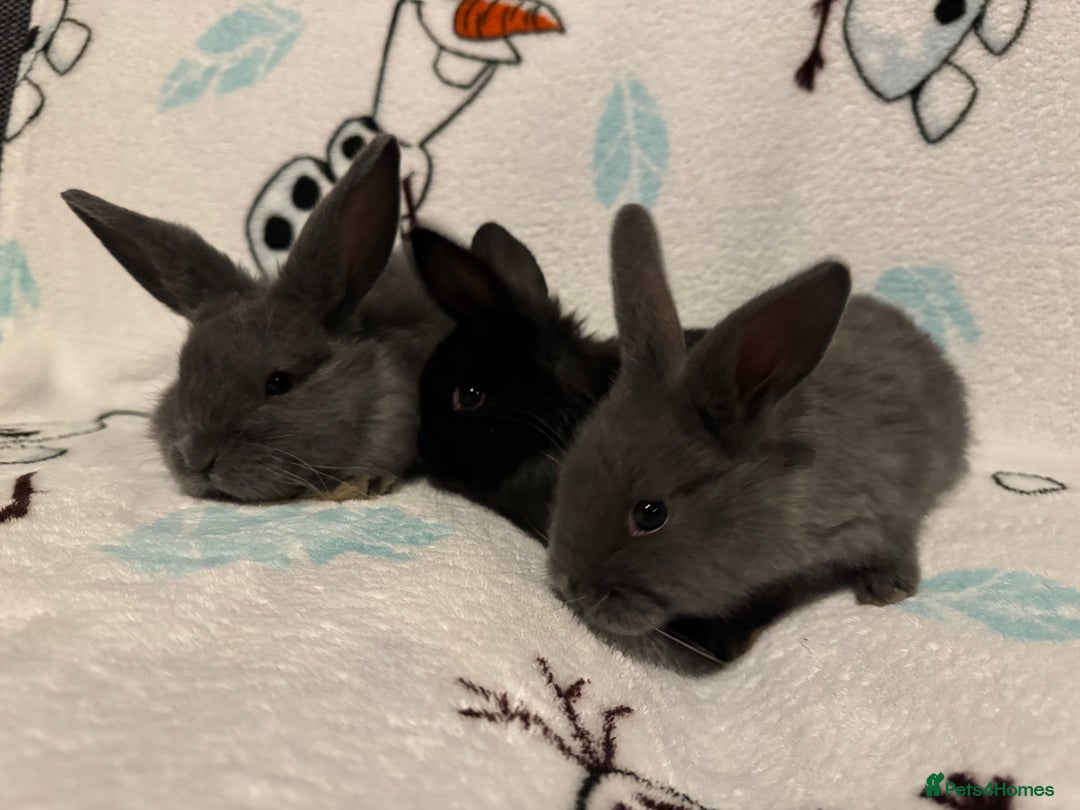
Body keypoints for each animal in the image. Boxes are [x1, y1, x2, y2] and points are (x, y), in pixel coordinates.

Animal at [546, 204, 970, 674]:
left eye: (651, 514)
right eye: (566, 473)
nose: (568, 586)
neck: (772, 492)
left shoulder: (878, 511)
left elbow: (894, 543)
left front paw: (889, 589)